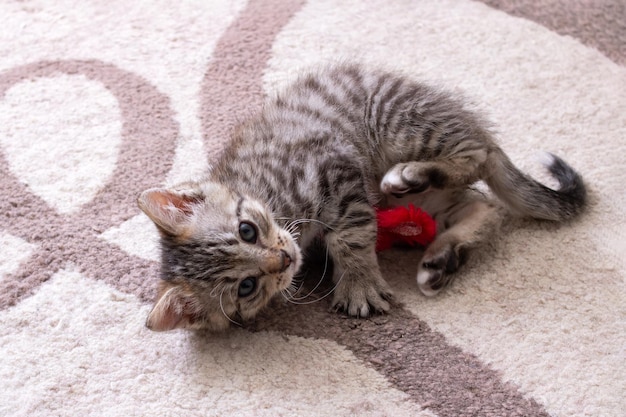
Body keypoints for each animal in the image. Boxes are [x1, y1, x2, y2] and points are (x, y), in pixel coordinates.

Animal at [136, 63, 584, 330]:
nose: (284, 259)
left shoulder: (336, 169)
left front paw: (358, 282)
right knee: (484, 205)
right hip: (413, 200)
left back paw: (413, 174)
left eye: (247, 230)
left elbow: (351, 234)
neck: (269, 193)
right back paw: (441, 258)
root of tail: (468, 120)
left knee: (477, 157)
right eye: (246, 287)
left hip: (400, 124)